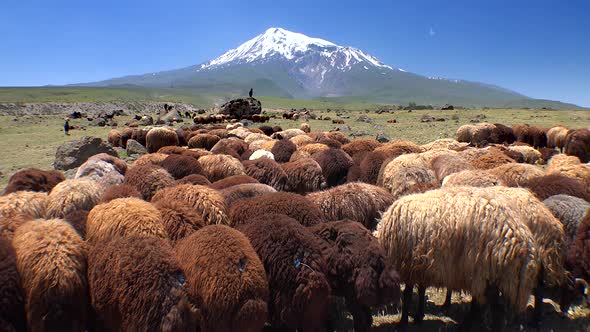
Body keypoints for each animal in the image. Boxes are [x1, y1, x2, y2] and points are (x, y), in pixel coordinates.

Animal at [380, 187, 540, 326]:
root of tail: (524, 243)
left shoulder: (407, 266)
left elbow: (407, 296)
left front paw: (403, 321)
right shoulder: (420, 266)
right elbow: (420, 290)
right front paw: (418, 315)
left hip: (491, 274)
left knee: (496, 310)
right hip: (501, 279)